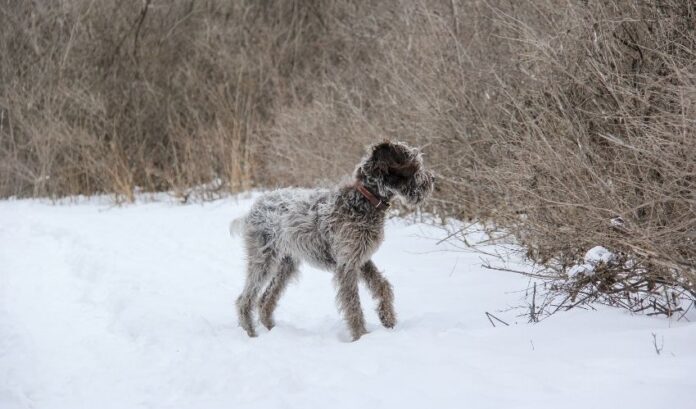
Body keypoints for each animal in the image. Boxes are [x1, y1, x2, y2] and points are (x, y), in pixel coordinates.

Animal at [238, 142, 436, 340]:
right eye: (414, 164)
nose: (433, 178)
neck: (364, 200)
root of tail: (258, 204)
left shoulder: (361, 259)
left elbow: (382, 286)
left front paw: (387, 318)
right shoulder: (347, 264)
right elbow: (353, 305)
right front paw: (361, 336)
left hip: (286, 265)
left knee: (265, 299)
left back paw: (272, 330)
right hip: (263, 260)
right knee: (245, 299)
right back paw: (251, 333)